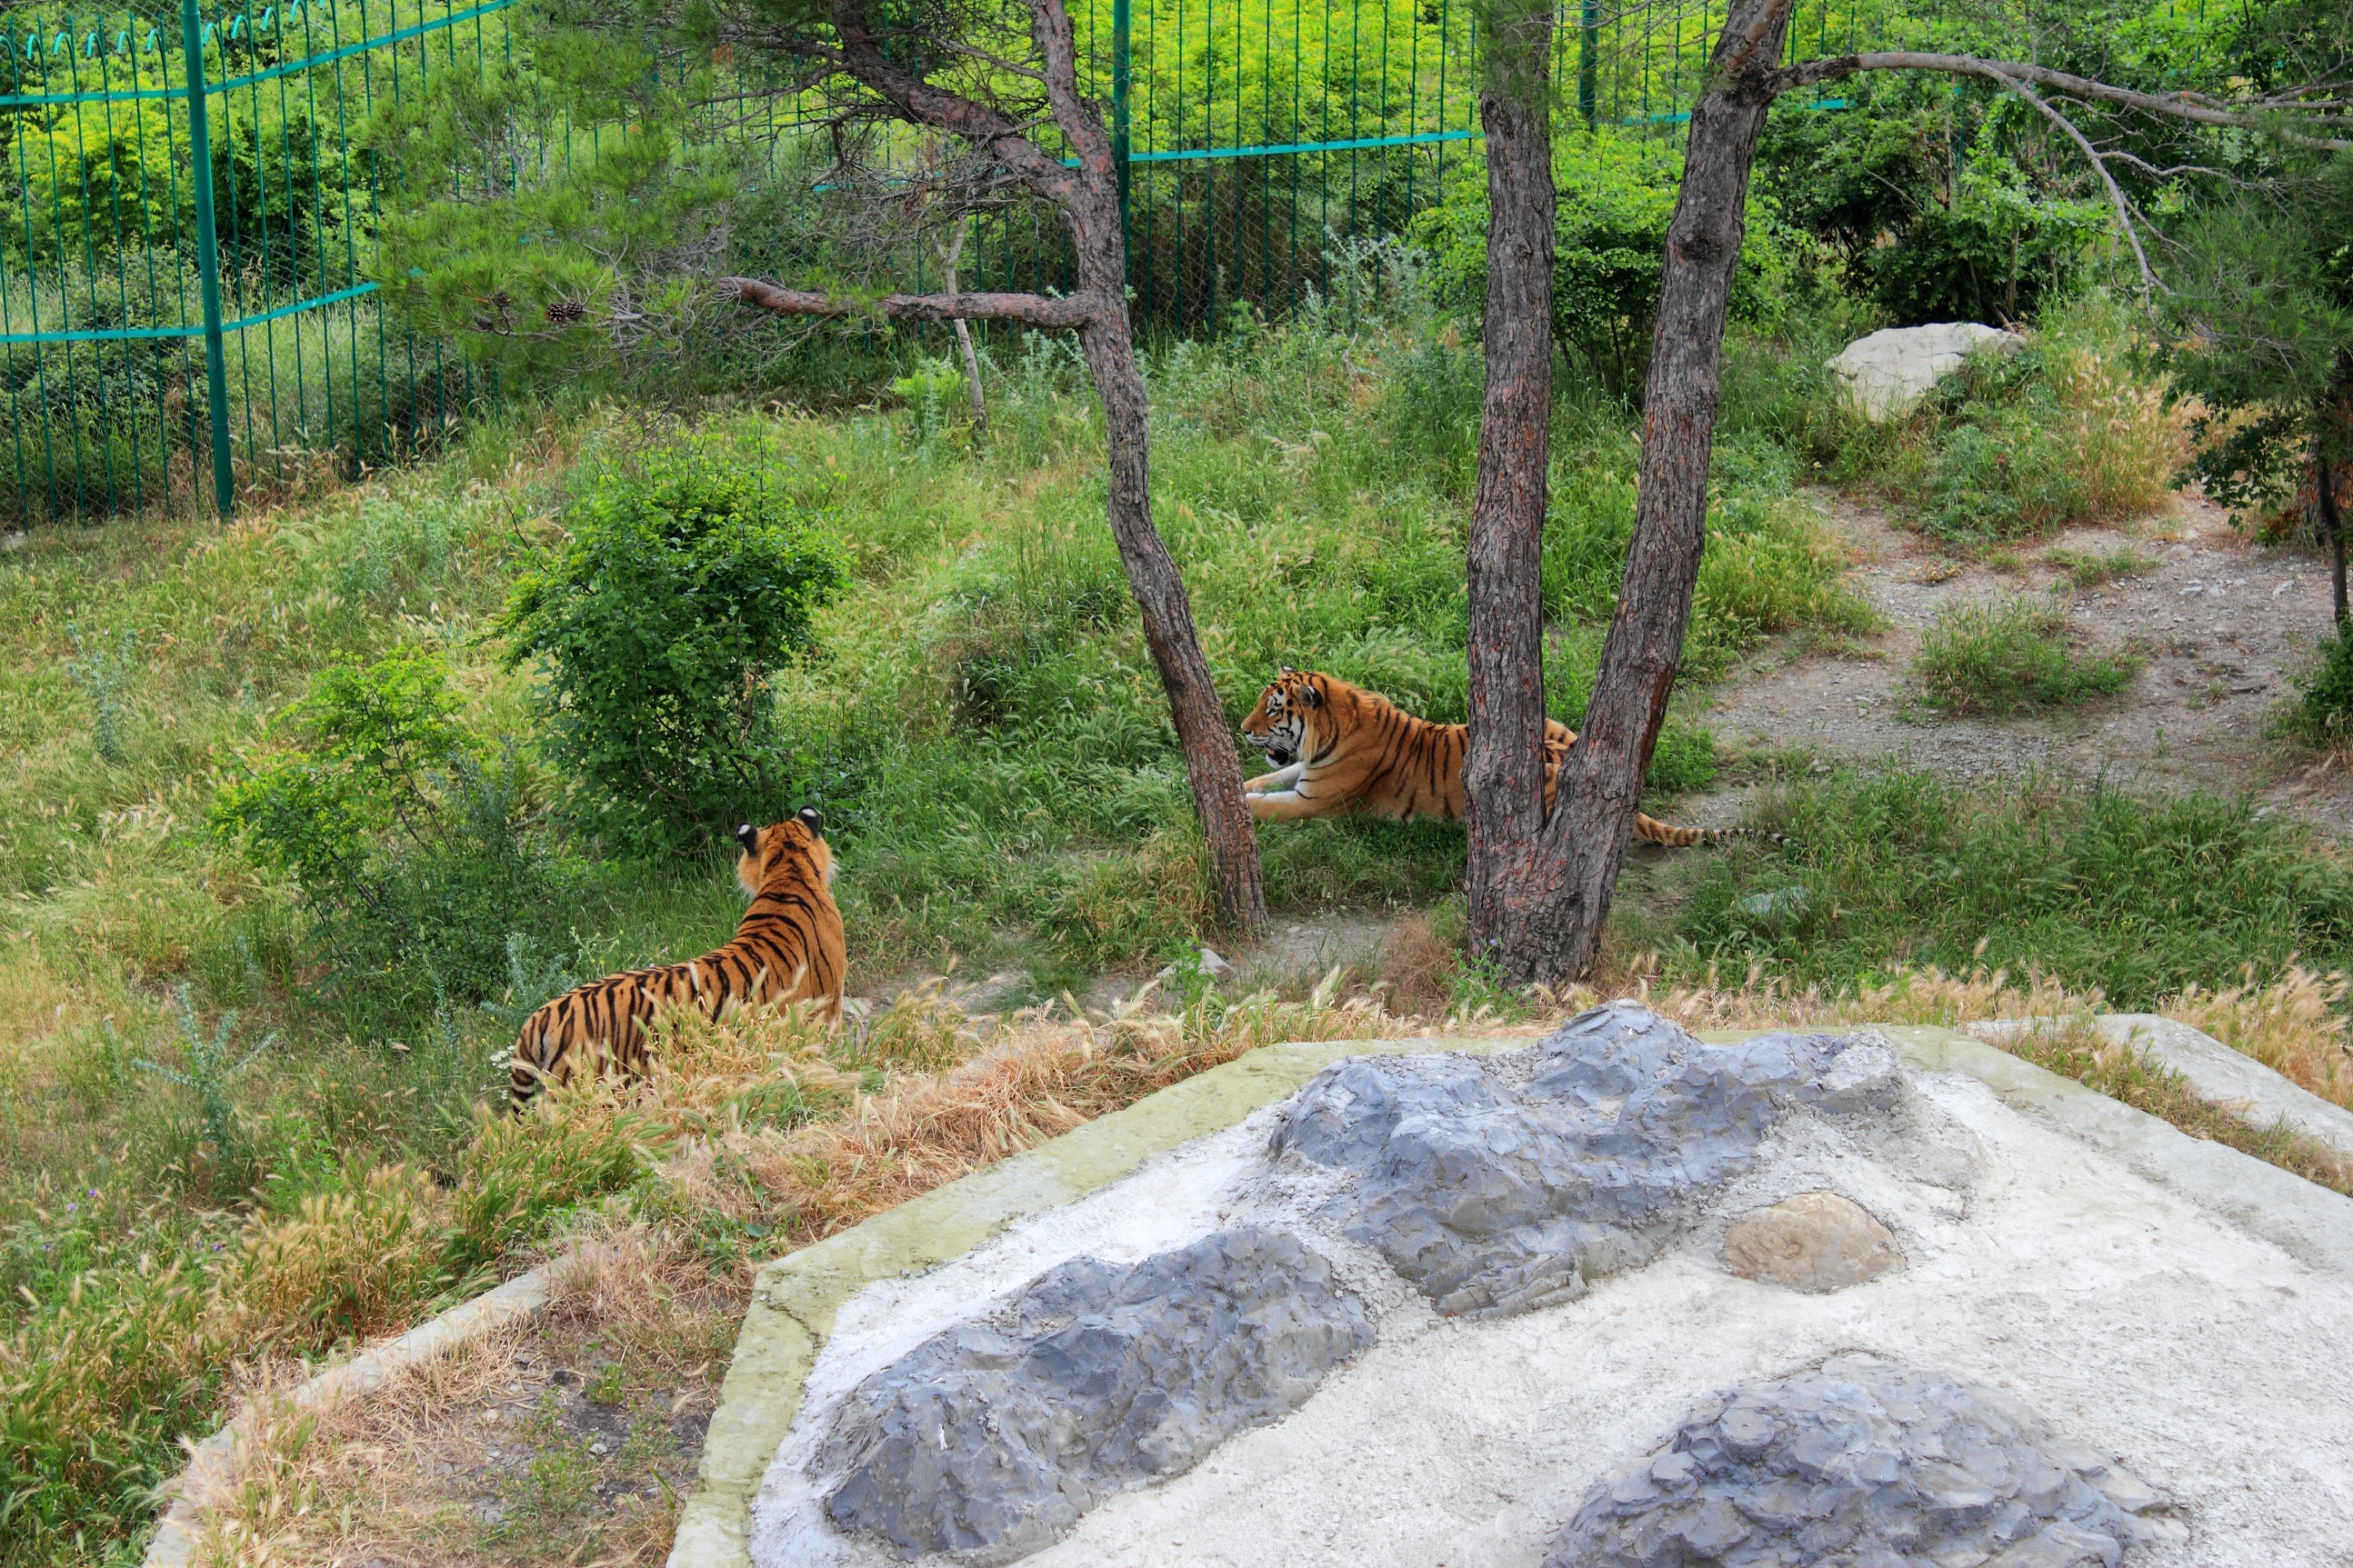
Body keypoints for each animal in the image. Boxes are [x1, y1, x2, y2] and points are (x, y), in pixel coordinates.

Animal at [1242, 667, 1769, 851]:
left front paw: (1233, 805)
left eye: (1273, 708)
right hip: (1556, 724)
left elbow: (1266, 806)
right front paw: (1237, 786)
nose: (1243, 730)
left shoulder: (1315, 801)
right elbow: (1262, 782)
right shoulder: (1304, 772)